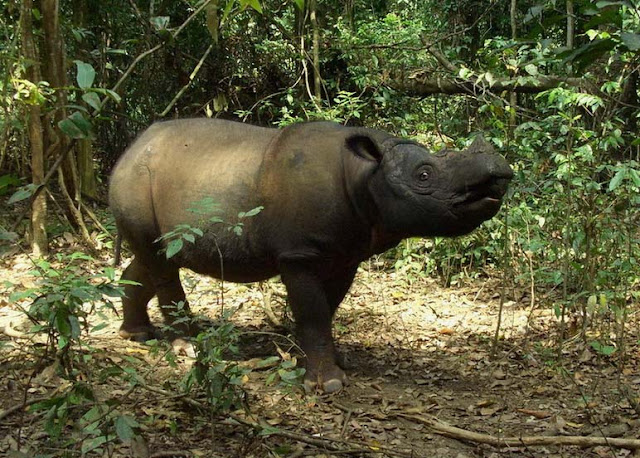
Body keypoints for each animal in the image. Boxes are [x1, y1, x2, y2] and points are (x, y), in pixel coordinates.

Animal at [109, 119, 510, 394]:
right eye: (423, 175)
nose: (501, 172)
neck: (364, 173)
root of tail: (130, 148)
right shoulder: (299, 254)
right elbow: (314, 312)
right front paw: (328, 384)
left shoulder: (345, 253)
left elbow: (324, 310)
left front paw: (322, 361)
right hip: (136, 178)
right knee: (160, 261)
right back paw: (188, 349)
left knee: (154, 257)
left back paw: (137, 335)